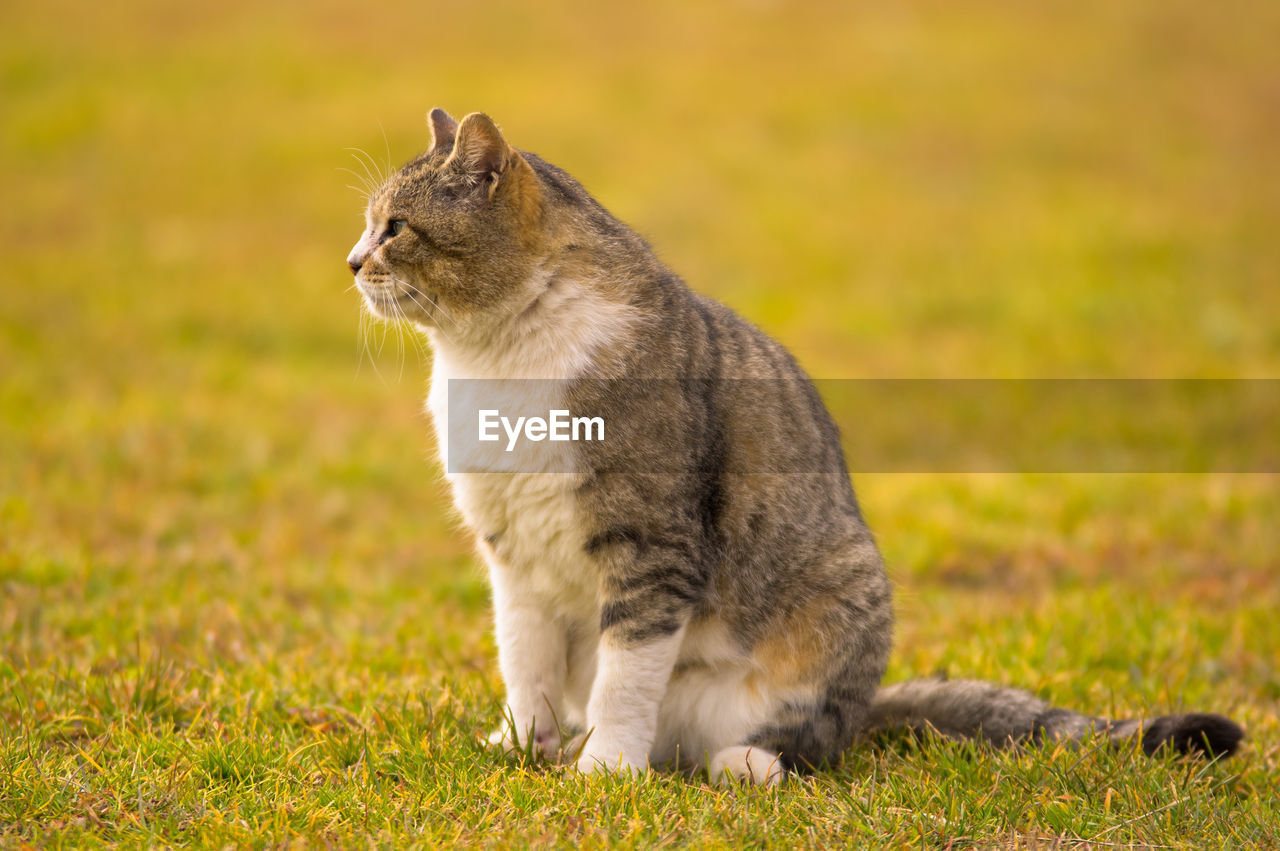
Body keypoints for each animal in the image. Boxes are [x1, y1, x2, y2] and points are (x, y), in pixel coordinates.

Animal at [345, 108, 1244, 783]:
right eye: (368, 225)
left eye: (397, 228)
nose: (351, 262)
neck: (495, 357)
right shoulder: (512, 549)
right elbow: (524, 660)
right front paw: (520, 745)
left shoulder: (651, 544)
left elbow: (624, 676)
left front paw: (605, 770)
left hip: (836, 605)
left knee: (811, 740)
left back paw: (740, 762)